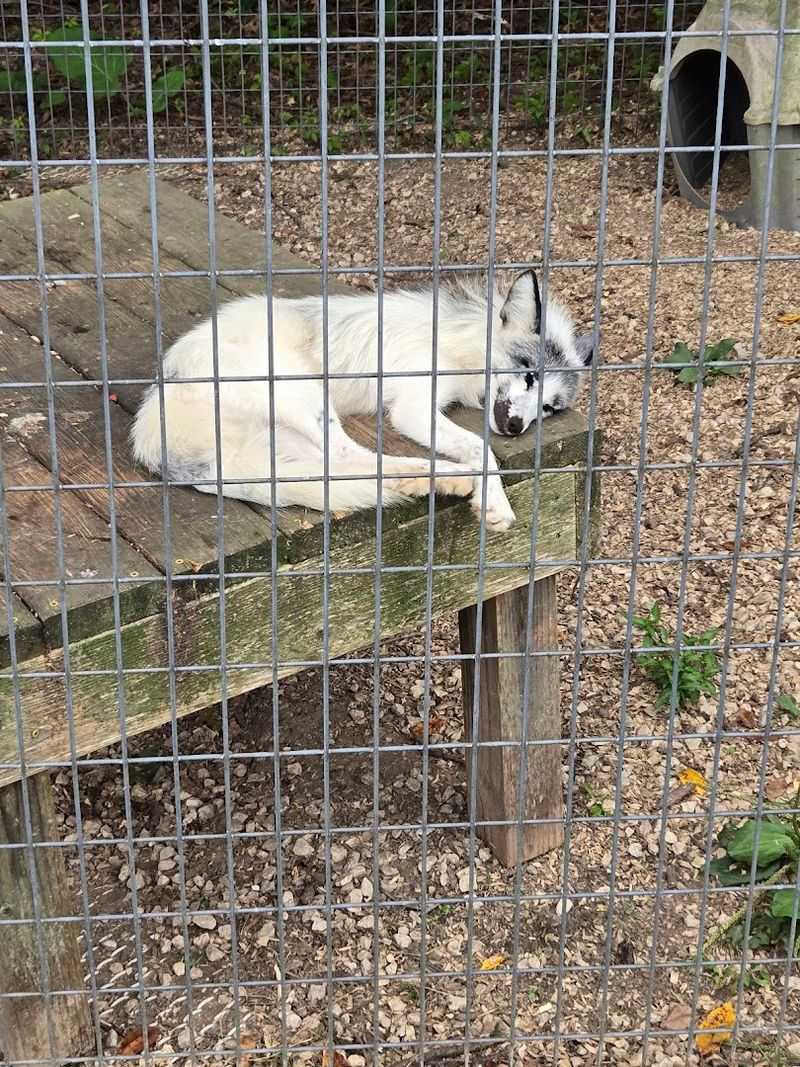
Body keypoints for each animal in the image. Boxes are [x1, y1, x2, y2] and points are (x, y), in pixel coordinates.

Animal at [131, 269, 594, 532]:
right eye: (529, 373)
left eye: (550, 407)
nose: (516, 427)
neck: (458, 340)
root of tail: (151, 425)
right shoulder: (411, 408)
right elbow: (482, 448)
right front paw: (495, 503)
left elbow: (480, 447)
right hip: (302, 390)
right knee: (348, 458)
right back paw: (445, 477)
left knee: (339, 467)